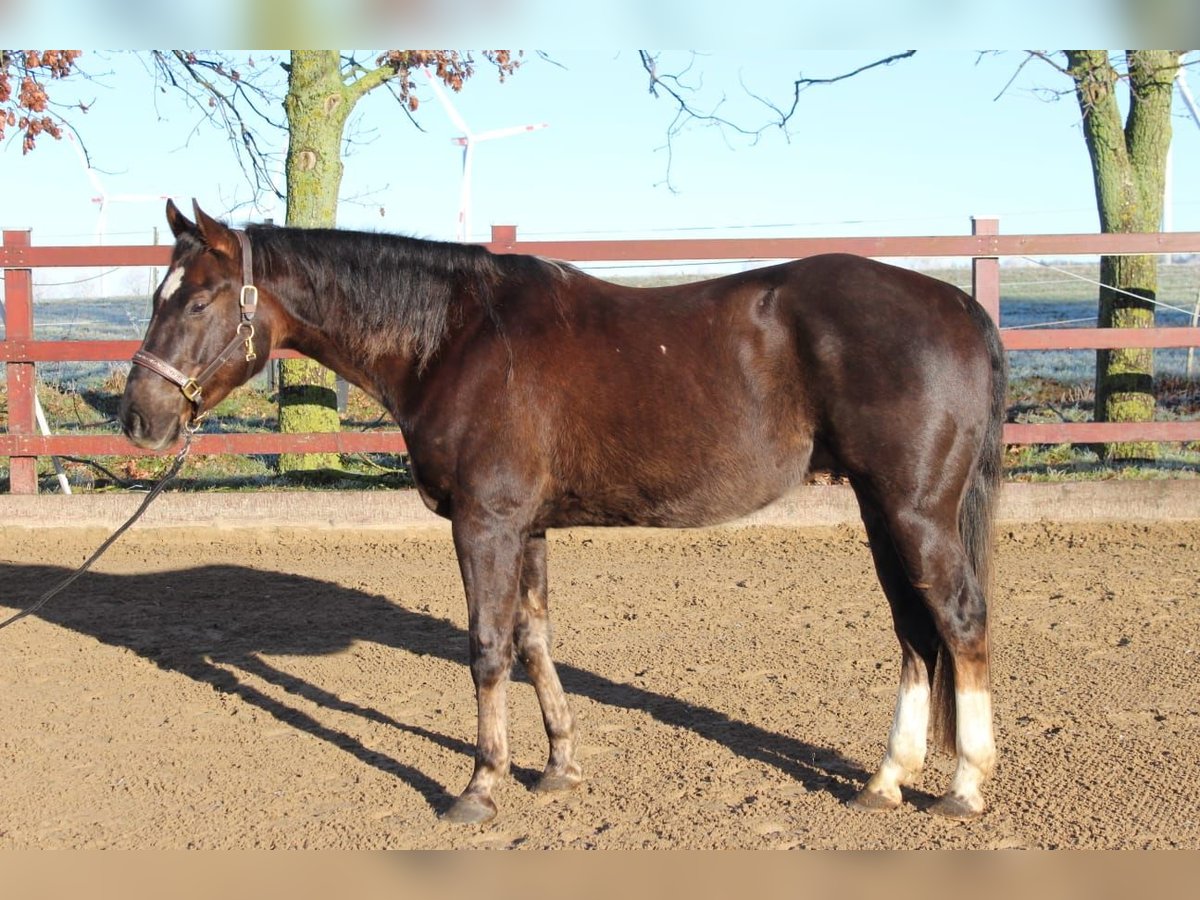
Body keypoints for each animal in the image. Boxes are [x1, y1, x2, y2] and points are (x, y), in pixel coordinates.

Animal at [119, 200, 1003, 830]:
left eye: (196, 301)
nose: (138, 417)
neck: (456, 338)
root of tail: (958, 307)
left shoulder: (486, 524)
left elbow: (485, 650)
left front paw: (479, 787)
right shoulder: (530, 527)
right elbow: (534, 640)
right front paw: (557, 768)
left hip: (915, 511)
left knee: (959, 621)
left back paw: (964, 784)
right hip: (880, 509)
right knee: (914, 631)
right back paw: (886, 780)